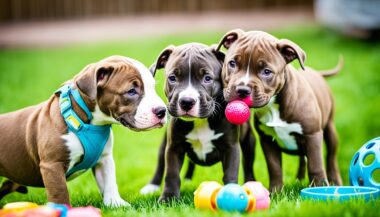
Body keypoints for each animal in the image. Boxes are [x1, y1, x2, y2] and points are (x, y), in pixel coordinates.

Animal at [0, 55, 166, 206]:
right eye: (131, 91)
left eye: (153, 87)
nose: (162, 111)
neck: (92, 123)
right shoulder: (52, 165)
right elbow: (59, 192)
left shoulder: (104, 158)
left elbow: (110, 181)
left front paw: (116, 203)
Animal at [217, 29, 344, 191]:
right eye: (232, 63)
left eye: (267, 71)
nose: (242, 90)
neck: (273, 106)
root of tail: (316, 72)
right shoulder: (267, 140)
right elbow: (274, 167)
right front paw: (276, 192)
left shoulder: (312, 135)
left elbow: (315, 165)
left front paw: (319, 188)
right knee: (303, 159)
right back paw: (299, 179)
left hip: (330, 129)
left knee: (331, 157)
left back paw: (335, 181)